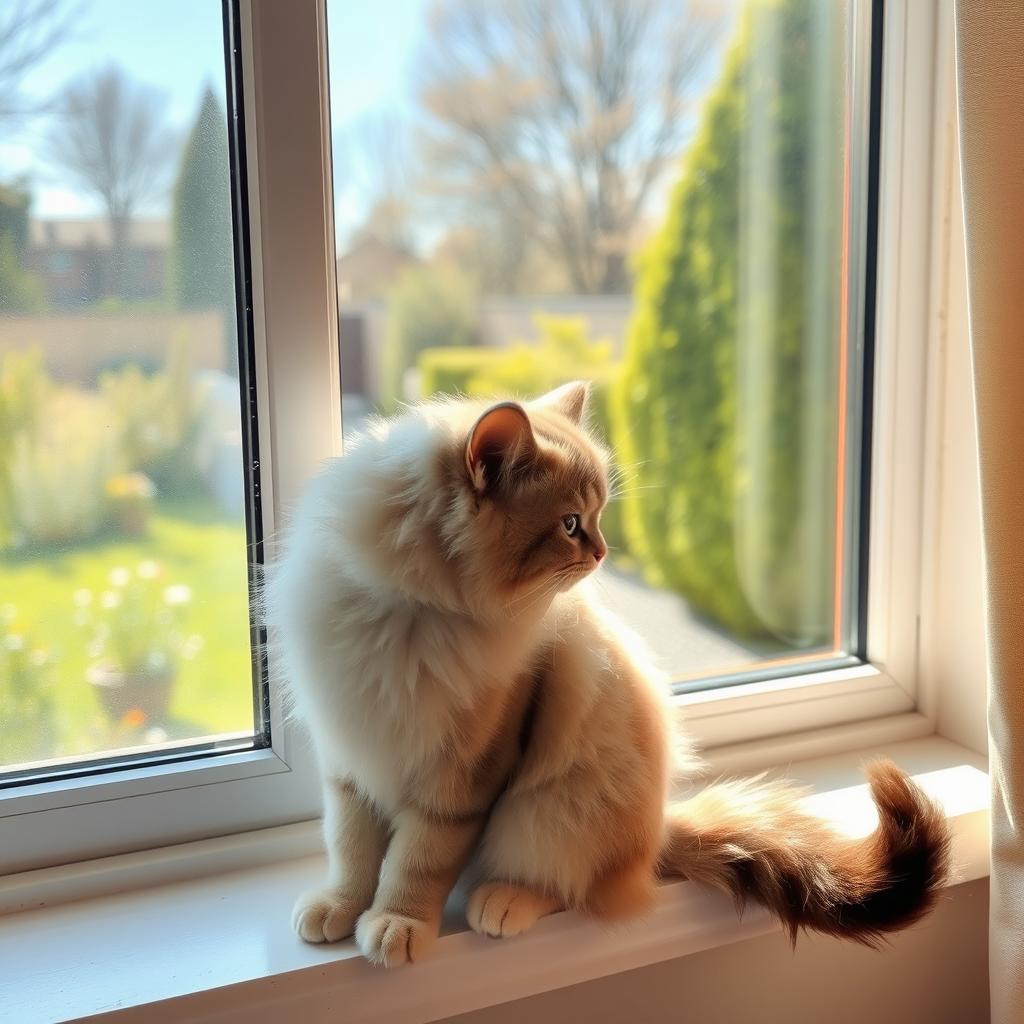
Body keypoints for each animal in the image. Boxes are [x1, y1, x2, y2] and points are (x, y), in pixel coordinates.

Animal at [266, 382, 950, 966]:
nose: (601, 553)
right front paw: (340, 908)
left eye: (593, 521)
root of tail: (656, 833)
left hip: (550, 806)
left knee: (568, 884)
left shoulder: (461, 779)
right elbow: (353, 852)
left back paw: (504, 901)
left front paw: (397, 923)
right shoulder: (350, 756)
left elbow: (415, 861)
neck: (411, 613)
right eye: (571, 524)